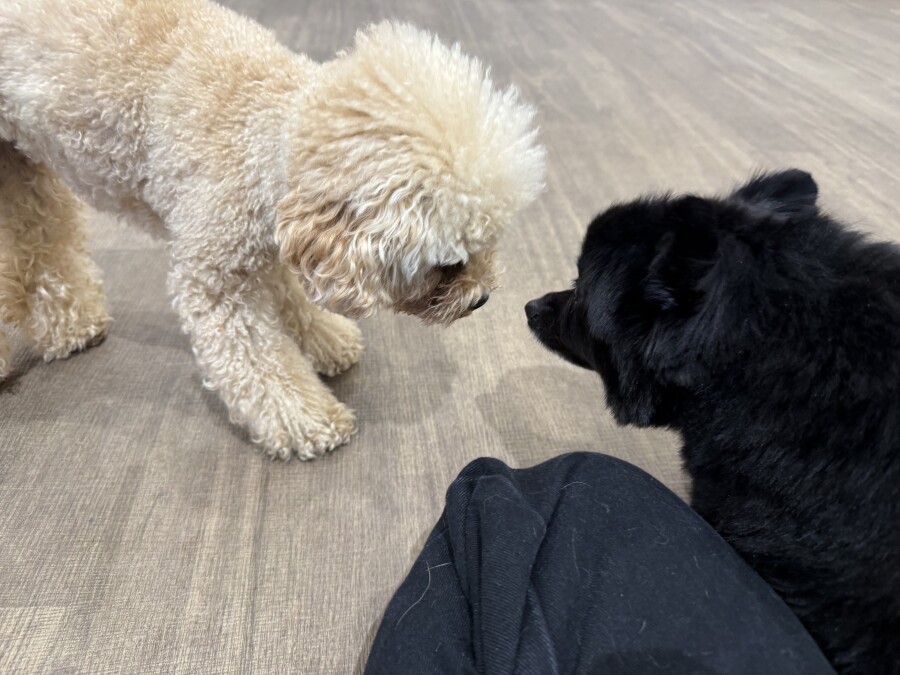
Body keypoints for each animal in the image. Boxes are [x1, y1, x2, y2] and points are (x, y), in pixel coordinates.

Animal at [0, 0, 545, 459]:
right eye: (448, 262)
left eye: (491, 242)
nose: (482, 300)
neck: (267, 125)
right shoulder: (218, 276)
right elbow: (260, 362)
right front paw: (309, 419)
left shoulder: (271, 243)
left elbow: (292, 299)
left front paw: (326, 339)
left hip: (23, 173)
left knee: (42, 243)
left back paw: (71, 326)